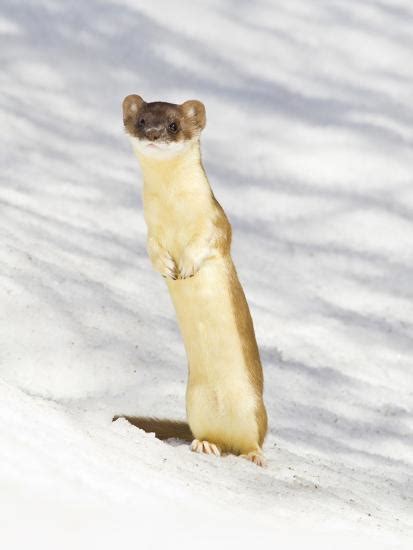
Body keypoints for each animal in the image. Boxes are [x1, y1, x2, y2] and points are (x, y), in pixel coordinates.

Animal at [113, 94, 268, 466]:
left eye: (173, 124)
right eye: (141, 120)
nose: (154, 134)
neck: (174, 214)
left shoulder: (216, 222)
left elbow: (211, 242)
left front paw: (187, 267)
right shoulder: (151, 231)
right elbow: (152, 251)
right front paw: (168, 267)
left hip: (255, 407)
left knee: (254, 439)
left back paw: (254, 456)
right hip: (193, 401)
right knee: (209, 435)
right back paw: (205, 445)